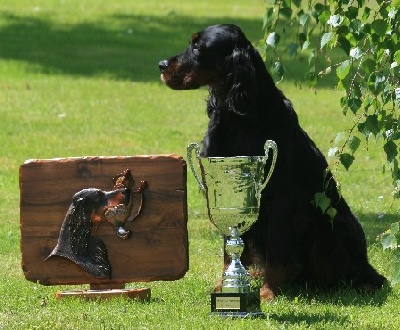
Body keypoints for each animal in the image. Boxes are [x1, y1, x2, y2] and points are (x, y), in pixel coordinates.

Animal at [159, 24, 388, 300]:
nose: (161, 65)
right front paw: (224, 285)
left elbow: (278, 251)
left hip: (330, 229)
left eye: (197, 46)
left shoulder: (281, 197)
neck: (240, 117)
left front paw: (268, 292)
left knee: (359, 275)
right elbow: (229, 249)